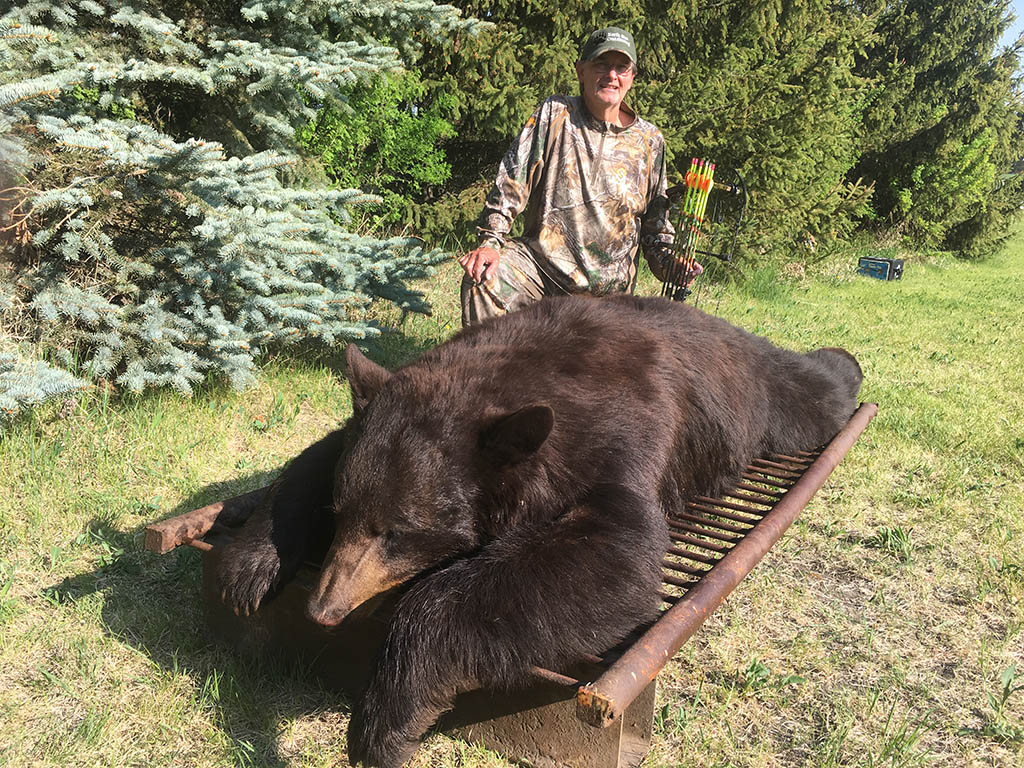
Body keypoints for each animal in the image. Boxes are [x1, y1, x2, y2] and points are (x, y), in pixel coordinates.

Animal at [216, 290, 864, 765]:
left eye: (398, 532)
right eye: (342, 514)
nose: (323, 610)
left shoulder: (615, 444)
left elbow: (616, 560)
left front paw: (384, 724)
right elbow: (314, 458)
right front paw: (249, 566)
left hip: (762, 397)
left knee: (811, 389)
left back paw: (844, 360)